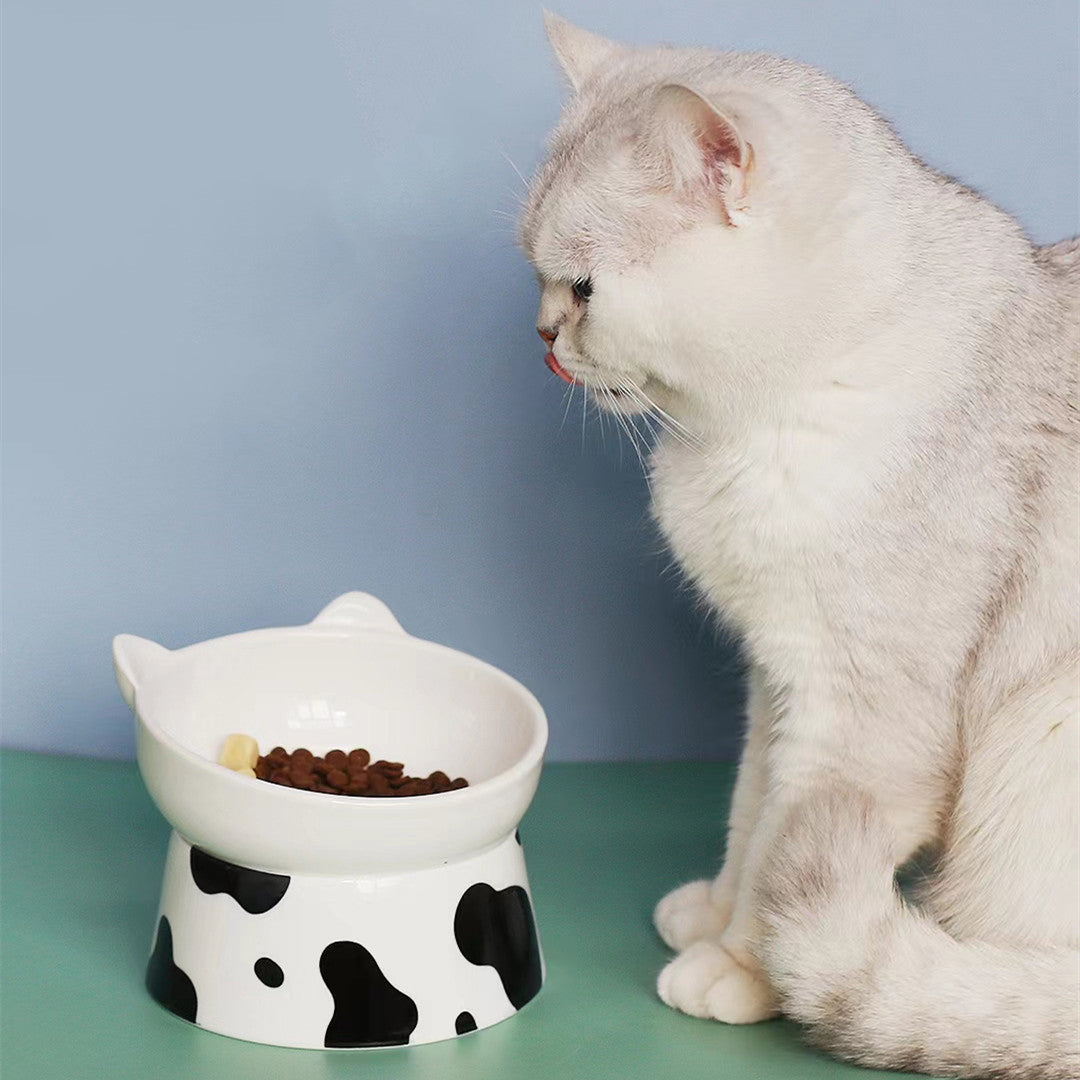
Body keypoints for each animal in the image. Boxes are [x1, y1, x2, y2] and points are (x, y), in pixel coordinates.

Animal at [522, 16, 1080, 1080]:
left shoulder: (858, 710)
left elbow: (789, 839)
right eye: (532, 273)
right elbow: (753, 818)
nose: (541, 339)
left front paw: (742, 969)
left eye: (581, 288)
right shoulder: (777, 677)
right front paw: (715, 913)